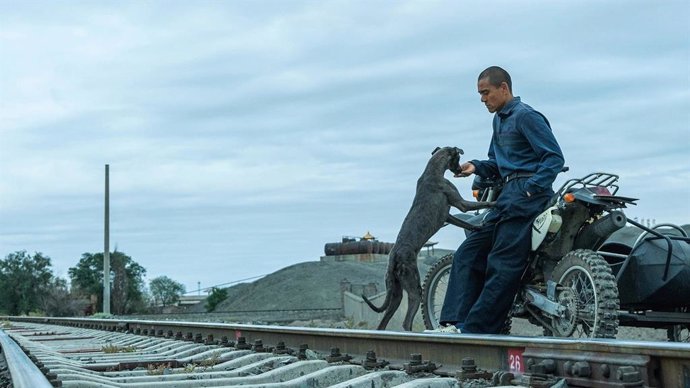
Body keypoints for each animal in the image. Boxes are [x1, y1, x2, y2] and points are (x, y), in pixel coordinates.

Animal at [360, 146, 494, 330]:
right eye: (458, 158)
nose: (460, 170)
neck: (432, 171)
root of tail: (394, 258)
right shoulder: (461, 204)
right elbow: (481, 204)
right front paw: (495, 204)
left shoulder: (447, 216)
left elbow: (464, 223)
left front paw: (478, 227)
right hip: (414, 288)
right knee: (406, 322)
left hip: (395, 293)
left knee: (383, 324)